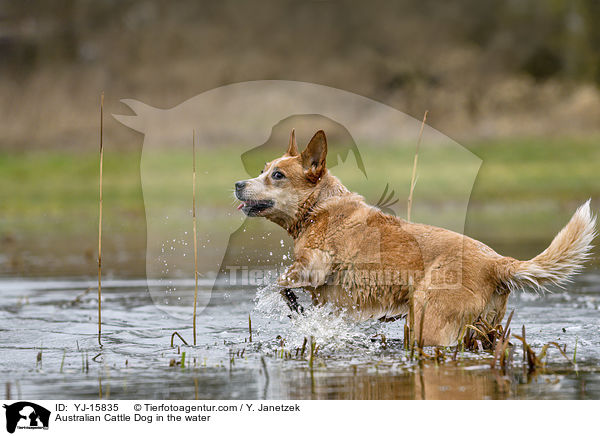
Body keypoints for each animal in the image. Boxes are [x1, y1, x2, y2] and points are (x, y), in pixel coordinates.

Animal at [234, 129, 596, 344]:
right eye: (263, 169)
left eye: (277, 175)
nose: (238, 184)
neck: (320, 207)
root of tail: (497, 262)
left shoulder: (314, 266)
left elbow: (281, 282)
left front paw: (295, 306)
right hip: (486, 328)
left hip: (427, 323)